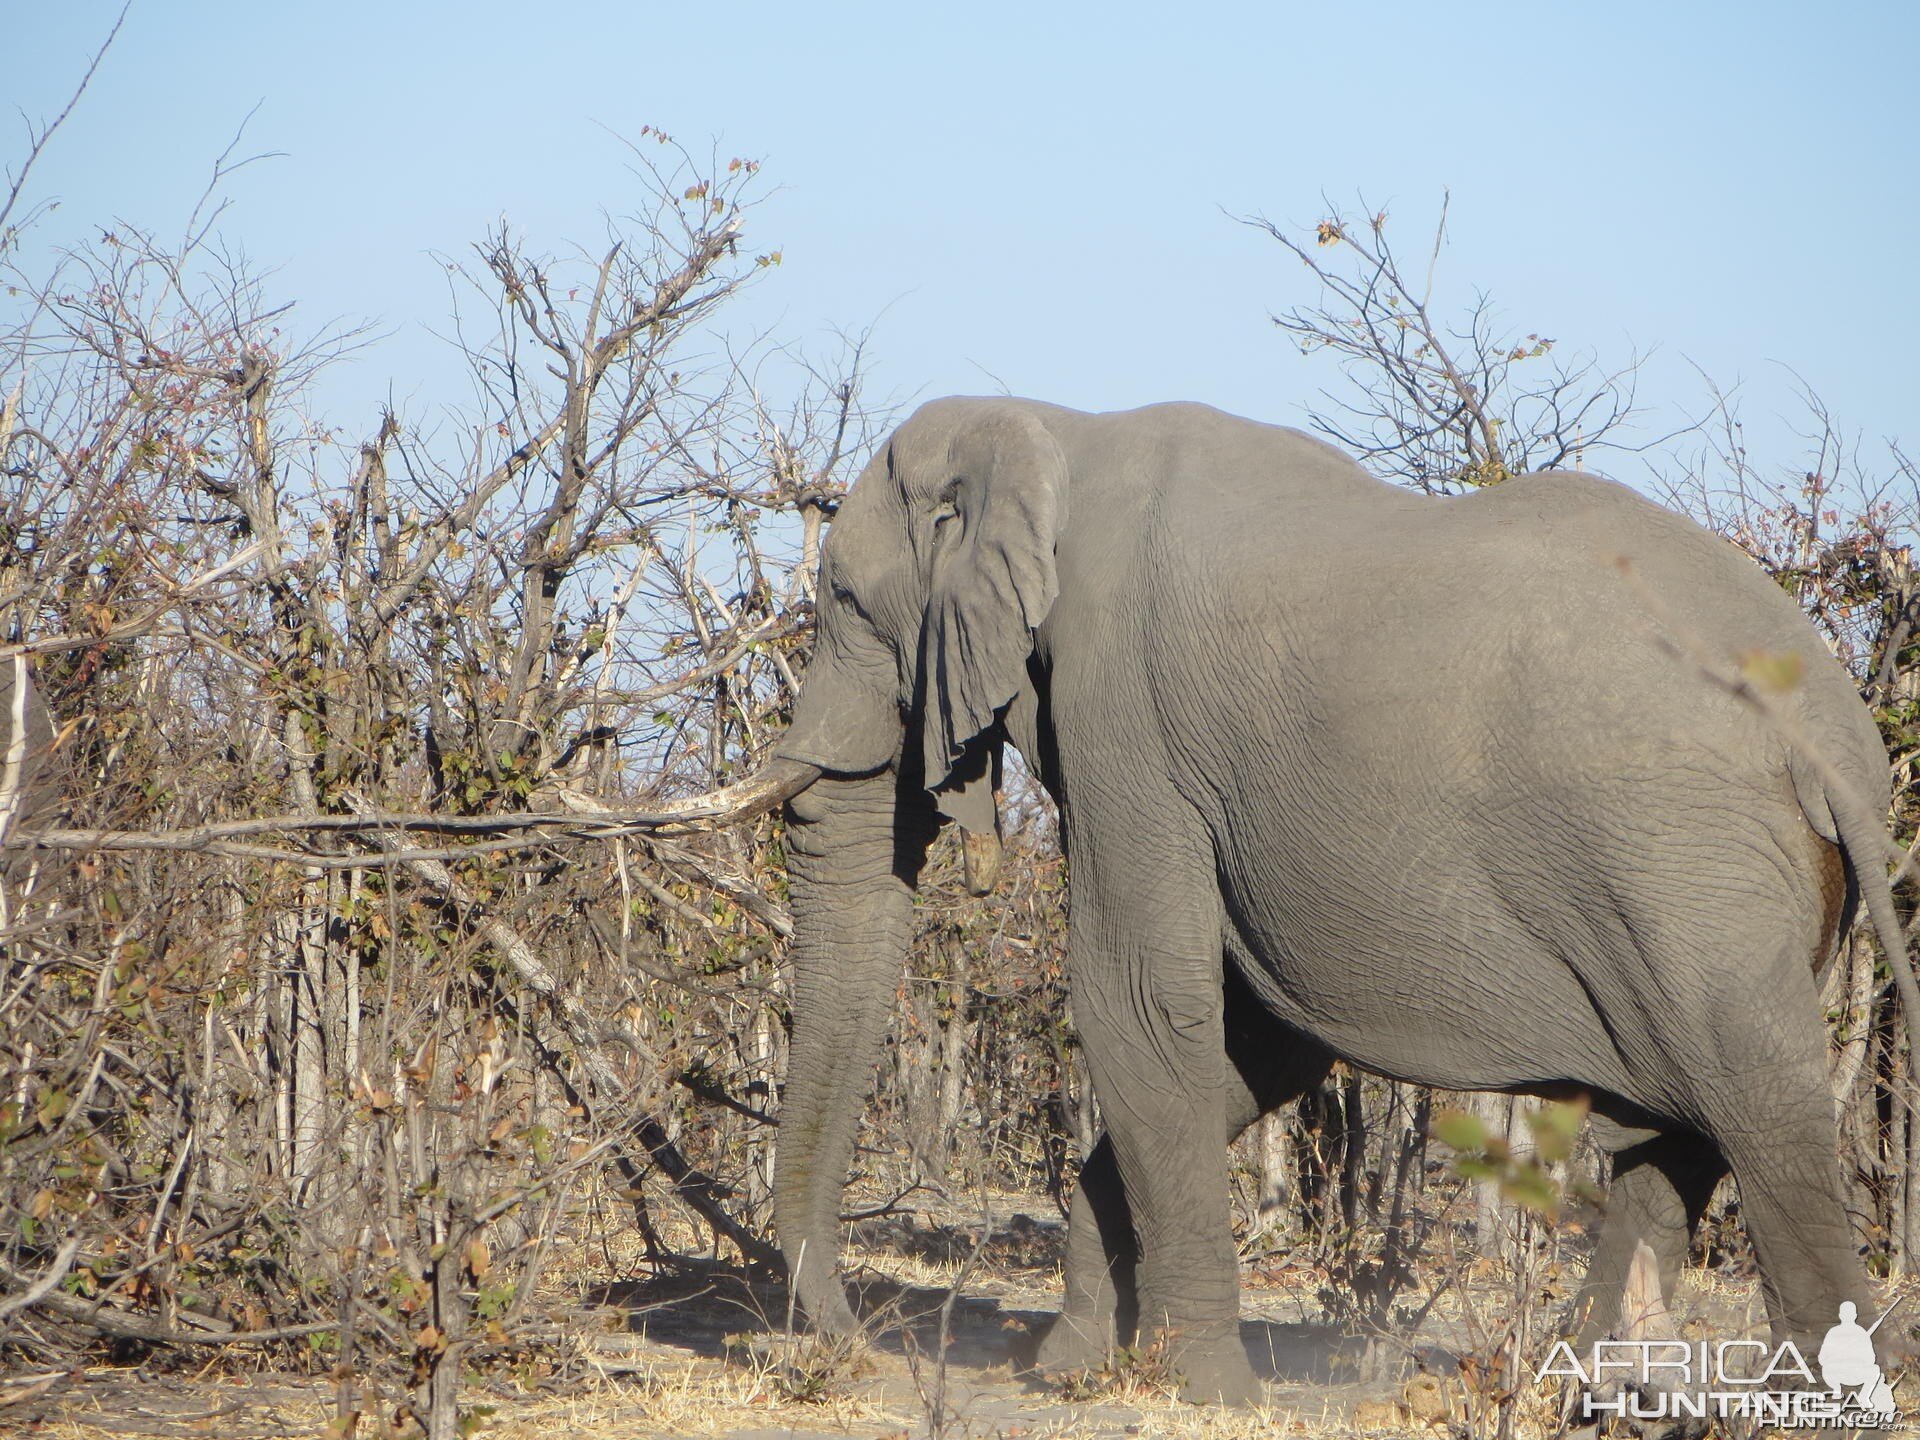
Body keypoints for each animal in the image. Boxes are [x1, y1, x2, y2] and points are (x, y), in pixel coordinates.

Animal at [714, 397, 1912, 1413]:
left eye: (842, 602)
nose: (855, 1344)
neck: (1051, 427)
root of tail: (1838, 735)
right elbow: (1259, 1040)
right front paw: (1074, 1366)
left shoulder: (1124, 718)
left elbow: (1142, 1008)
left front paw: (1207, 1392)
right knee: (1683, 1133)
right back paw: (1576, 1397)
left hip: (1685, 871)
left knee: (1753, 1107)